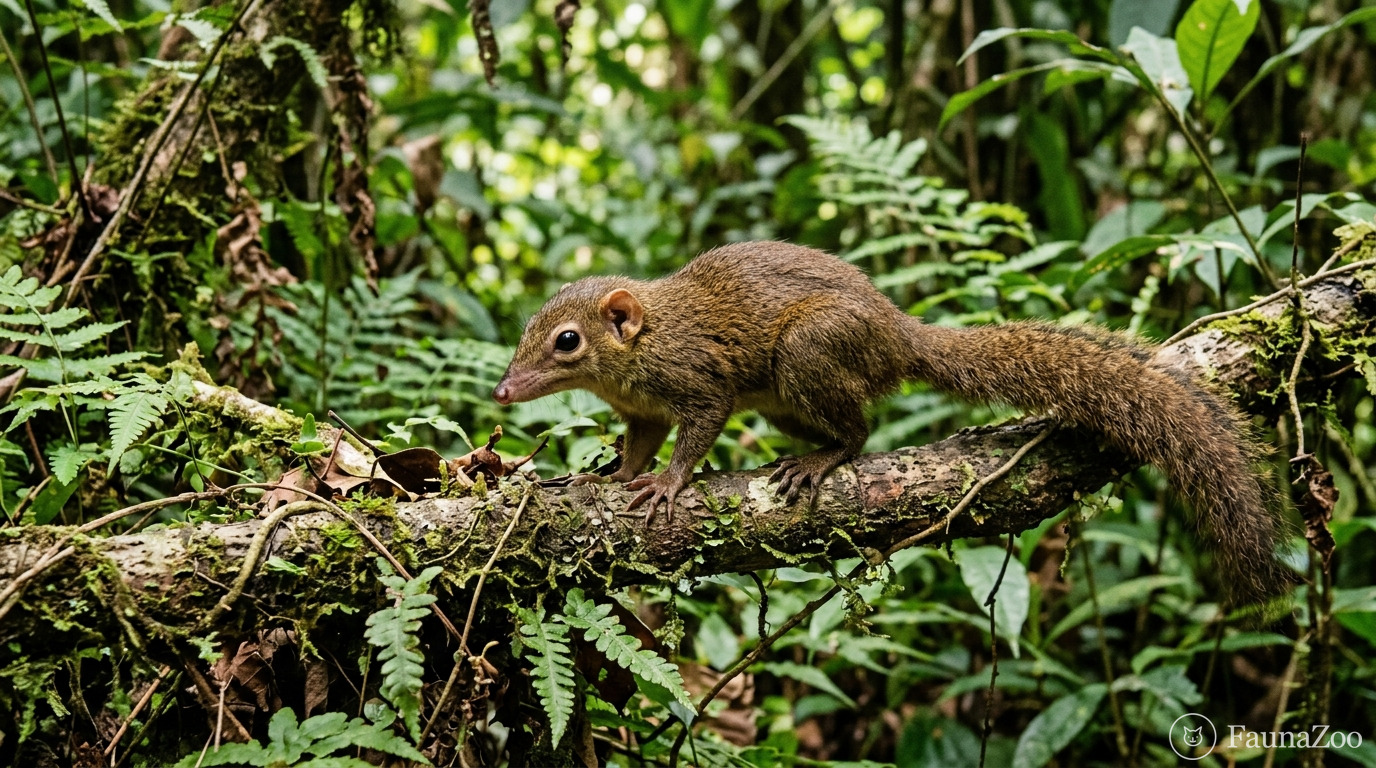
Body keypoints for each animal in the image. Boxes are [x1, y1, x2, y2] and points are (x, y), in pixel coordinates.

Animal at [494, 241, 1293, 606]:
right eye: (531, 329)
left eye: (566, 341)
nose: (504, 390)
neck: (639, 353)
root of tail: (899, 334)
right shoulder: (642, 412)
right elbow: (637, 450)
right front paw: (612, 478)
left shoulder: (697, 384)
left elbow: (695, 436)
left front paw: (667, 485)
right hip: (787, 400)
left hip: (806, 354)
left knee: (861, 434)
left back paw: (820, 463)